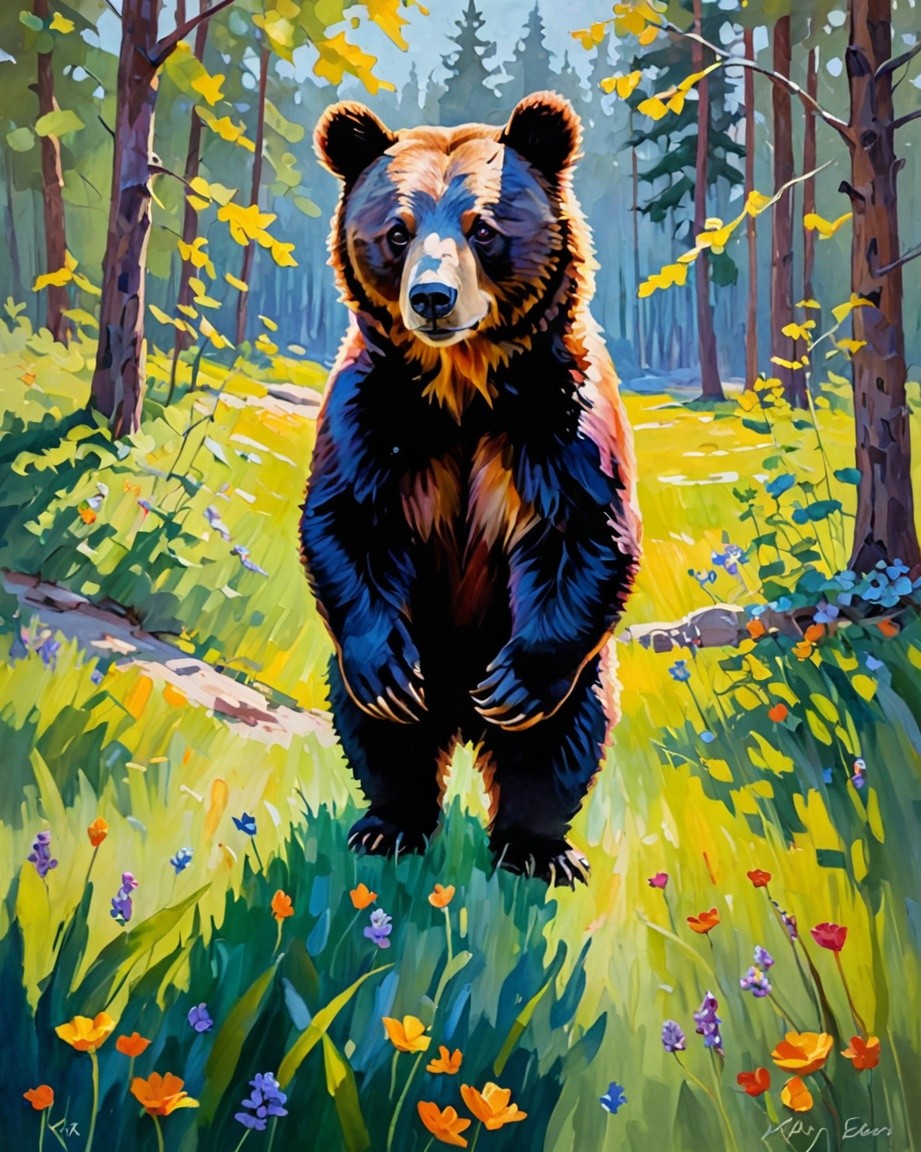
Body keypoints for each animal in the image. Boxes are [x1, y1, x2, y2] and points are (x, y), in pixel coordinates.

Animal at [300, 92, 641, 886]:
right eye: (396, 230)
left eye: (481, 227)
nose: (432, 297)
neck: (463, 389)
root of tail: (458, 713)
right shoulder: (372, 414)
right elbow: (345, 521)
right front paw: (387, 674)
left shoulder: (558, 420)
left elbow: (588, 531)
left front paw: (517, 684)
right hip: (391, 657)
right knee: (379, 734)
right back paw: (390, 825)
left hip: (579, 674)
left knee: (561, 739)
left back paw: (537, 848)